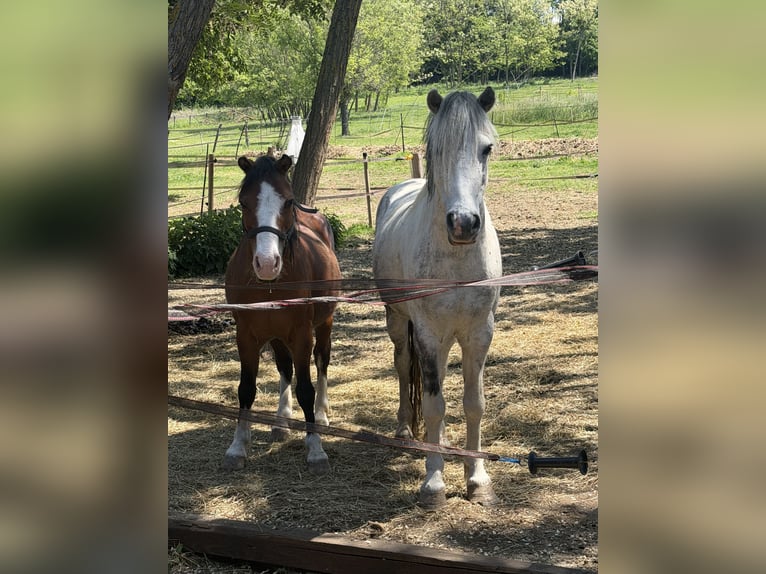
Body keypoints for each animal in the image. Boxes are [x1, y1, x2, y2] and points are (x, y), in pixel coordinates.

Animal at [222, 153, 342, 475]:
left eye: (288, 201)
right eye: (243, 203)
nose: (266, 263)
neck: (270, 285)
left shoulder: (301, 335)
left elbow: (306, 389)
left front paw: (315, 449)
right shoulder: (246, 335)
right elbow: (246, 388)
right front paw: (238, 446)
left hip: (324, 324)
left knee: (322, 362)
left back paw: (321, 415)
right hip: (275, 336)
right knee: (285, 369)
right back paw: (281, 420)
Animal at [372, 87, 502, 508]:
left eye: (486, 148)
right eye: (438, 149)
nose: (463, 224)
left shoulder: (478, 335)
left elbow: (473, 404)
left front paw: (477, 479)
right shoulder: (427, 334)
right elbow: (431, 406)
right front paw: (434, 482)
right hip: (399, 322)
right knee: (404, 368)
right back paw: (405, 431)